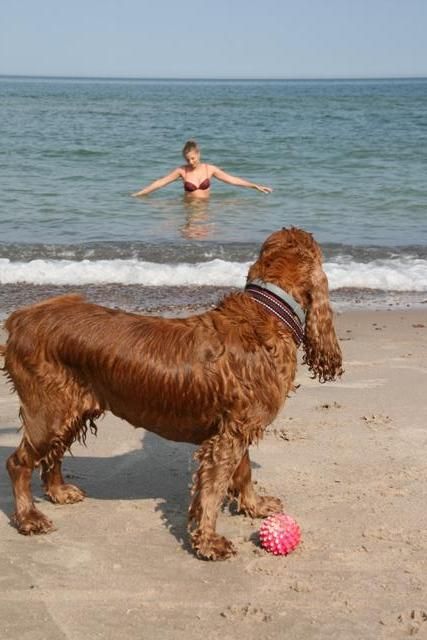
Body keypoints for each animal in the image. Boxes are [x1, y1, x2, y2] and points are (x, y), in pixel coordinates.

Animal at [1, 228, 342, 560]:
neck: (268, 310)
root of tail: (20, 319)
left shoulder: (236, 427)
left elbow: (243, 472)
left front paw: (254, 507)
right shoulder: (227, 439)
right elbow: (213, 489)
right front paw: (209, 542)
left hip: (72, 409)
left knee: (54, 453)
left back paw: (59, 492)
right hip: (49, 412)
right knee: (18, 462)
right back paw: (29, 517)